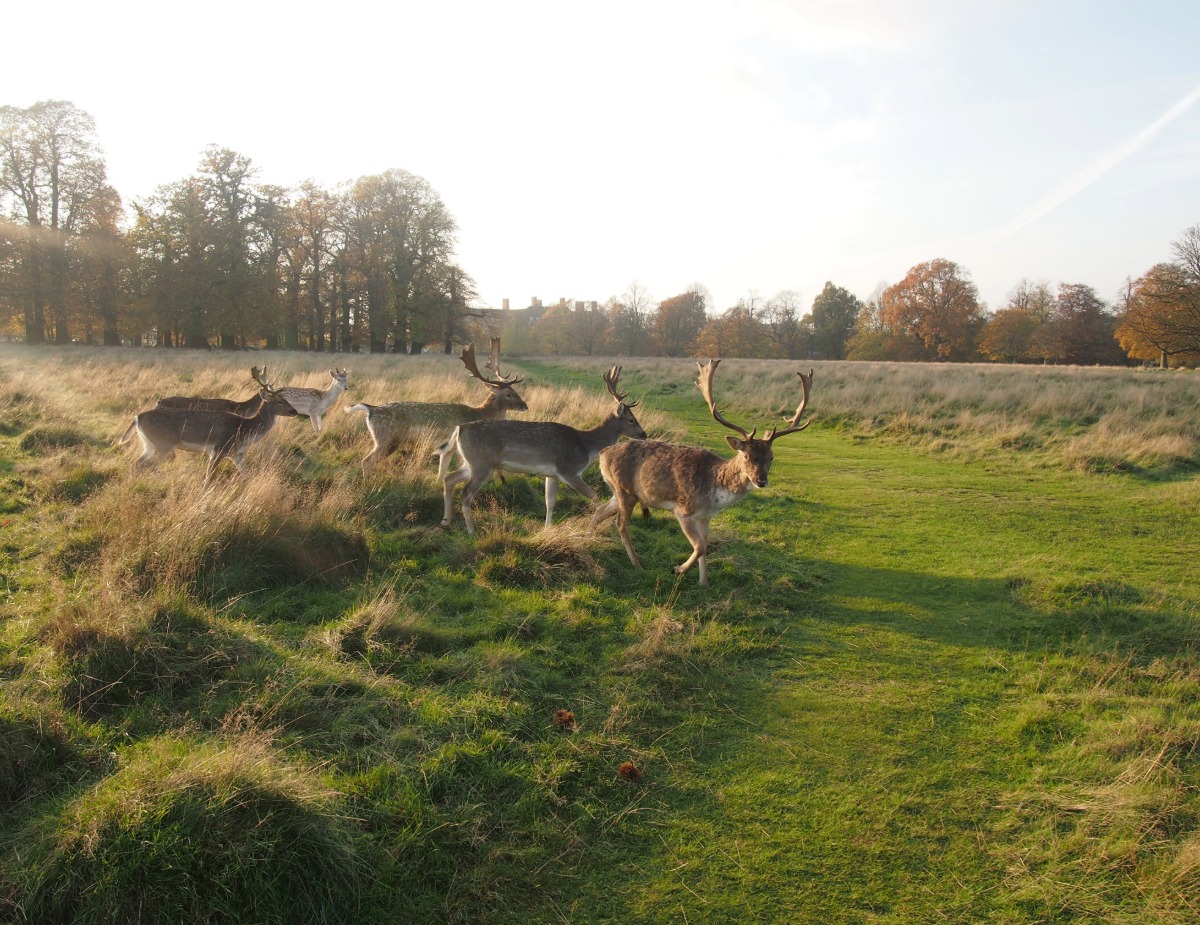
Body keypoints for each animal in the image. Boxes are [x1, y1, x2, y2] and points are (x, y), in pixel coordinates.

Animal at [119, 367, 300, 483]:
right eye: (280, 401)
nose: (295, 411)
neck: (245, 430)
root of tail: (137, 417)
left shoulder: (237, 455)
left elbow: (248, 476)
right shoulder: (218, 449)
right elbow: (209, 478)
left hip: (149, 444)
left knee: (137, 464)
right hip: (164, 443)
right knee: (150, 465)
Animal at [346, 339, 527, 474]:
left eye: (515, 390)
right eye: (508, 394)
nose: (525, 405)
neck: (478, 414)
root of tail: (371, 409)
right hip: (387, 437)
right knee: (366, 461)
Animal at [440, 366, 646, 535]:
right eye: (631, 420)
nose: (643, 434)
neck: (587, 446)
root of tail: (459, 429)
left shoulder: (552, 474)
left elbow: (550, 502)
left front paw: (547, 530)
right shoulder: (569, 470)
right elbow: (595, 497)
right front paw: (601, 527)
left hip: (471, 462)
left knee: (449, 478)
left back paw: (446, 520)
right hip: (481, 464)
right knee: (465, 493)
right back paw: (471, 530)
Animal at [592, 359, 813, 588]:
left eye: (771, 457)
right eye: (746, 455)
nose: (761, 481)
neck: (713, 494)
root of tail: (603, 453)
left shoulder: (705, 517)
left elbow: (705, 546)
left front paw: (703, 582)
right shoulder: (683, 511)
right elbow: (699, 547)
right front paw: (678, 569)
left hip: (621, 492)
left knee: (600, 511)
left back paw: (590, 537)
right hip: (624, 490)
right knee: (621, 525)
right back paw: (637, 564)